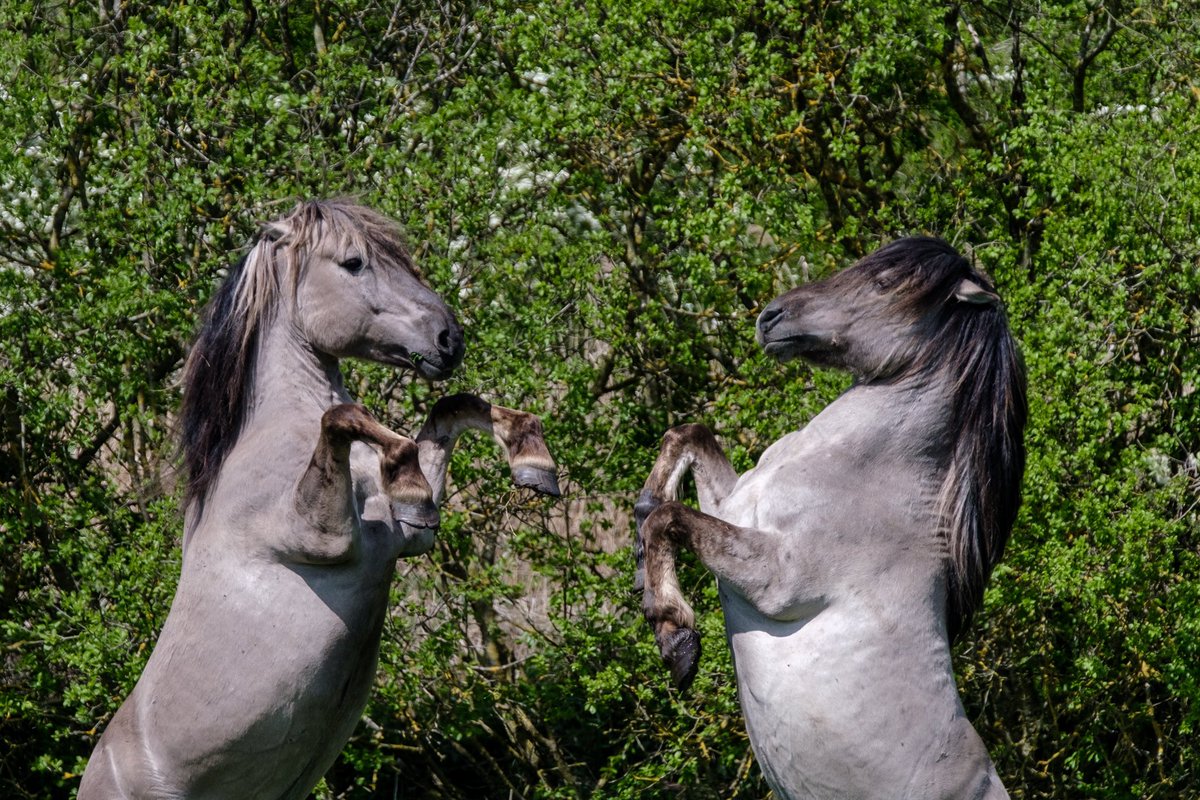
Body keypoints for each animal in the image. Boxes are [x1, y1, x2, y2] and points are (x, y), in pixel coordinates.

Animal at [79, 199, 560, 799]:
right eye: (353, 262)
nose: (449, 339)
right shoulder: (323, 538)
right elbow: (346, 418)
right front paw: (411, 481)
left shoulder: (406, 540)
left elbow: (451, 407)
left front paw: (533, 461)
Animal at [635, 237, 1026, 799]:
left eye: (884, 283)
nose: (770, 318)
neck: (857, 474)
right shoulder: (737, 509)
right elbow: (687, 437)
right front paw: (641, 519)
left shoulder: (775, 577)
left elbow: (670, 519)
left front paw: (675, 638)